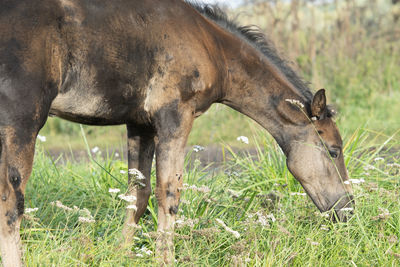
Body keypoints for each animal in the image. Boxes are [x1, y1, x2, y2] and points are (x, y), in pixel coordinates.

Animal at [0, 0, 354, 266]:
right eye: (333, 150)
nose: (348, 210)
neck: (212, 46)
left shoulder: (140, 124)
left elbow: (137, 194)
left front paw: (121, 254)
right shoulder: (175, 116)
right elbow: (169, 193)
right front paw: (165, 259)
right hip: (21, 122)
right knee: (11, 203)